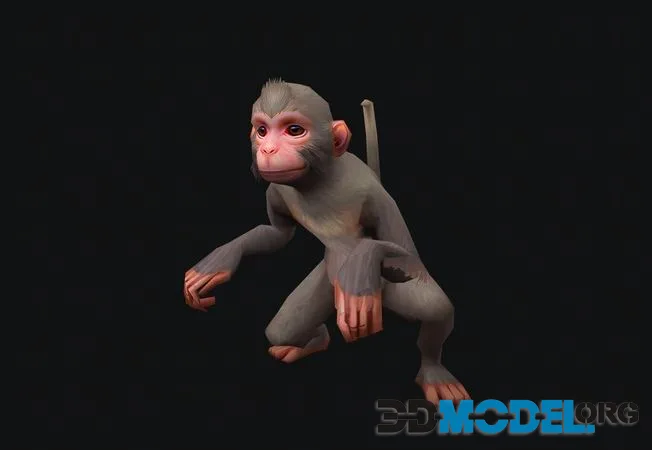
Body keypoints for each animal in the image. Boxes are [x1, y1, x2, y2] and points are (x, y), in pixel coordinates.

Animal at [183, 80, 470, 405]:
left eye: (294, 130)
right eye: (262, 130)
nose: (267, 148)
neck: (318, 180)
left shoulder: (376, 197)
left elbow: (407, 258)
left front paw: (360, 271)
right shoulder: (276, 190)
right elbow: (277, 232)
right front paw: (220, 259)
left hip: (386, 290)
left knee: (435, 306)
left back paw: (433, 371)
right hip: (326, 281)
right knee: (283, 330)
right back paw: (311, 341)